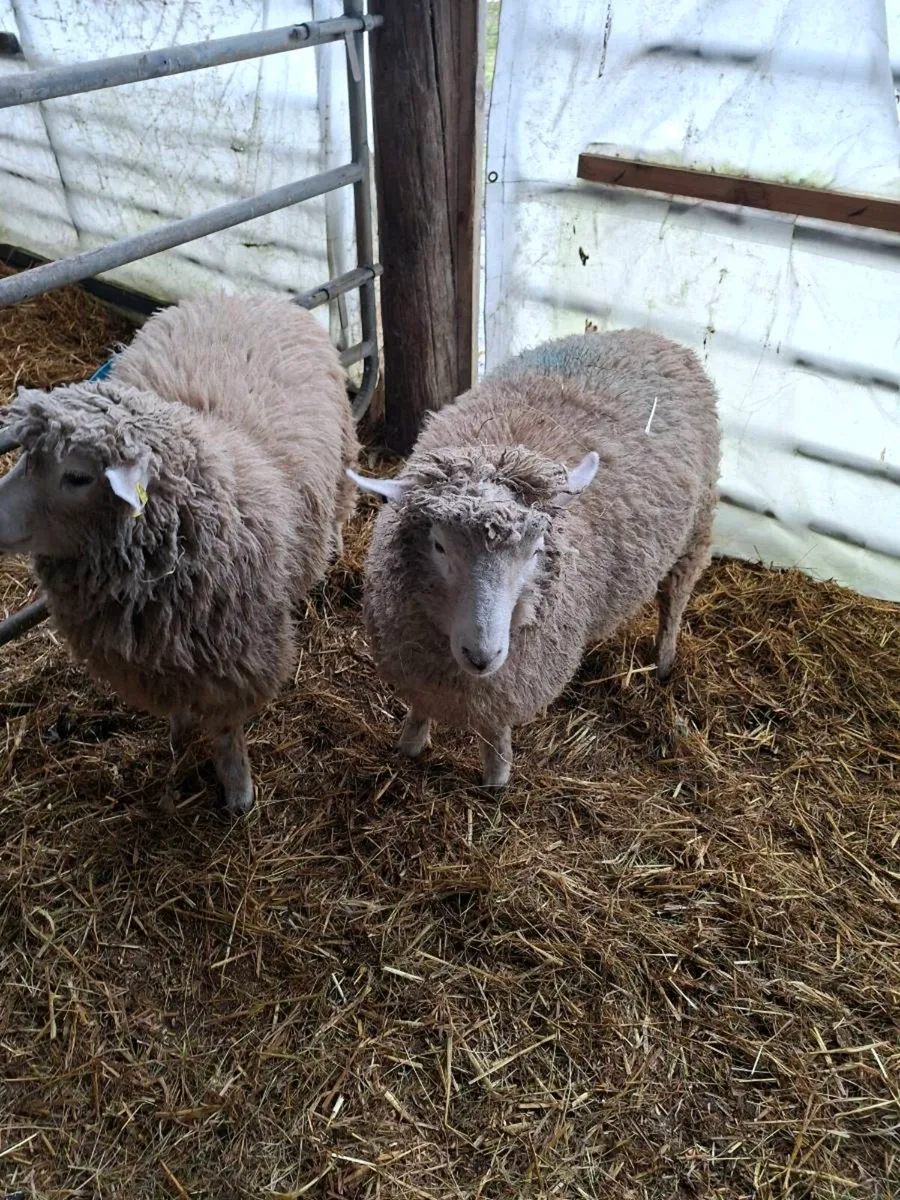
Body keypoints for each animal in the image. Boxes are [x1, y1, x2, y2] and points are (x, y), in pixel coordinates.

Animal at [0, 292, 359, 814]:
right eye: (26, 456)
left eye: (78, 476)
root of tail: (244, 296)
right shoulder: (163, 654)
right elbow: (179, 705)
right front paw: (180, 733)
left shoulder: (240, 652)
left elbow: (227, 727)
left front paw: (238, 791)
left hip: (340, 460)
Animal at [349, 329, 720, 787]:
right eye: (439, 546)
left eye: (536, 551)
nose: (482, 655)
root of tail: (651, 336)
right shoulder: (420, 669)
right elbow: (421, 707)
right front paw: (410, 744)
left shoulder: (508, 683)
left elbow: (495, 730)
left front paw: (496, 778)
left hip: (696, 529)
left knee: (674, 599)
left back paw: (664, 660)